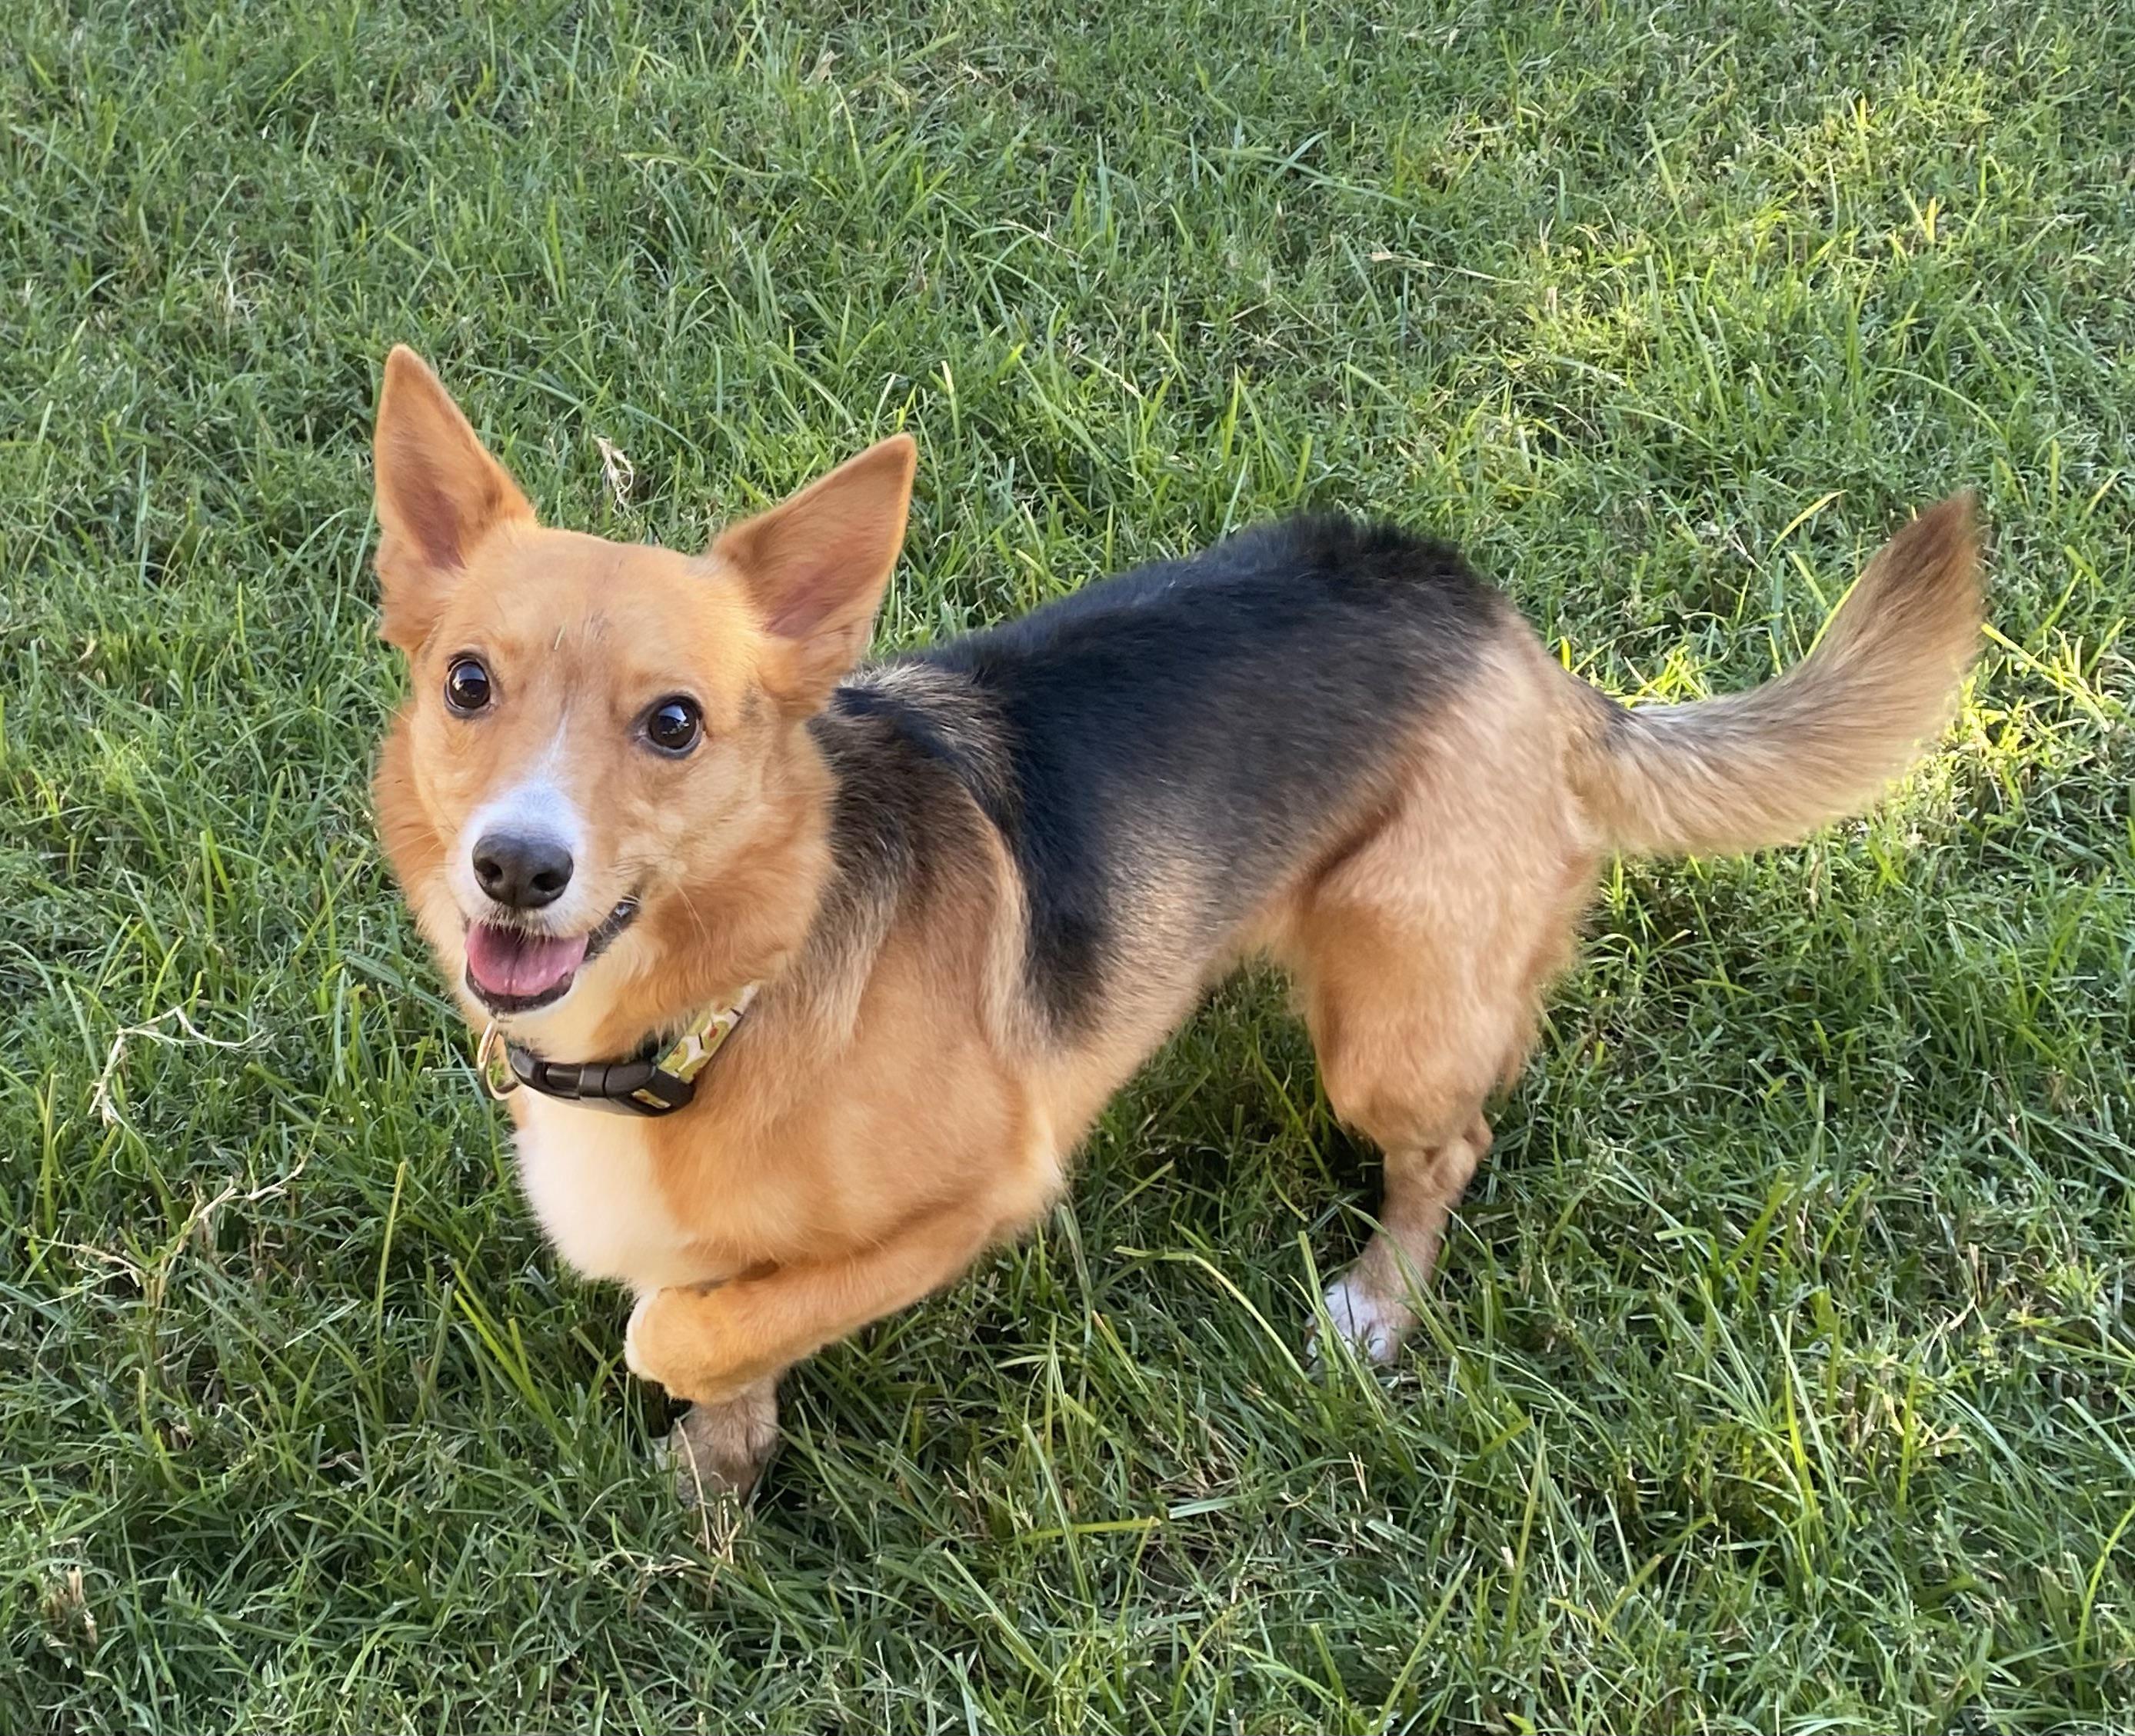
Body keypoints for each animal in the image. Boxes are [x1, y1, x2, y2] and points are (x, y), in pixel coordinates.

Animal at [367, 345, 1981, 1494]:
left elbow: (689, 1324)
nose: (516, 868)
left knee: (1453, 1140)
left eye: (676, 724)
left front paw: (703, 1404)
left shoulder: (986, 1191)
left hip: (1387, 1032)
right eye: (467, 683)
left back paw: (1376, 1303)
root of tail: (1529, 652)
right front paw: (721, 1479)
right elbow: (723, 1322)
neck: (722, 1001)